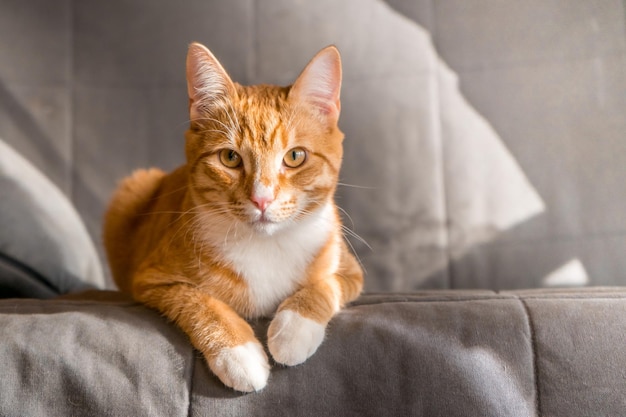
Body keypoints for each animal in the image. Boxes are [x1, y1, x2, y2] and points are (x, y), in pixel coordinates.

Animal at [103, 42, 364, 390]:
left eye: (295, 156)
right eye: (229, 157)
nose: (261, 199)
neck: (266, 247)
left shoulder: (349, 271)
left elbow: (325, 286)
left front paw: (293, 330)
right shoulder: (152, 280)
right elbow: (198, 301)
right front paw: (238, 352)